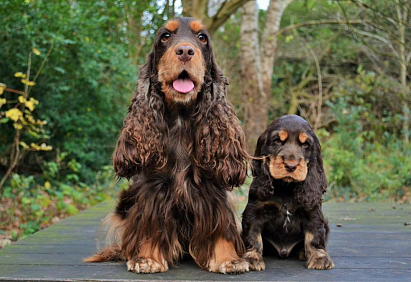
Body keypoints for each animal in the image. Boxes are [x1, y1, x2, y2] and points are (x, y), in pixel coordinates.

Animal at [85, 17, 249, 274]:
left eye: (202, 37)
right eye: (165, 36)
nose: (185, 51)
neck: (181, 119)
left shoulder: (212, 188)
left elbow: (221, 224)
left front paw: (228, 259)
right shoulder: (154, 187)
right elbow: (151, 224)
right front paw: (147, 258)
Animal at [241, 114, 334, 270]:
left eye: (305, 144)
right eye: (277, 141)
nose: (291, 166)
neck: (286, 187)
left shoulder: (312, 212)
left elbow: (314, 235)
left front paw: (319, 258)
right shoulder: (254, 211)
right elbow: (253, 235)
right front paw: (252, 257)